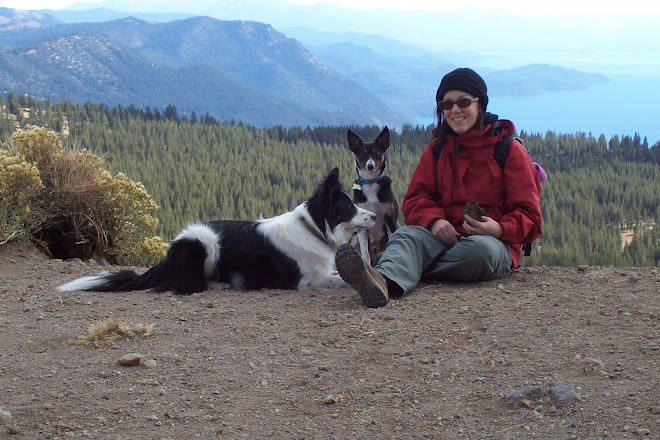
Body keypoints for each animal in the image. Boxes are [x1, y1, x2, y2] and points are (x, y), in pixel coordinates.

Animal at [348, 125, 400, 266]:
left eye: (377, 153)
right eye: (362, 154)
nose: (370, 165)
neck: (371, 182)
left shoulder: (389, 219)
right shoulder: (361, 224)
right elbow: (365, 254)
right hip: (354, 238)